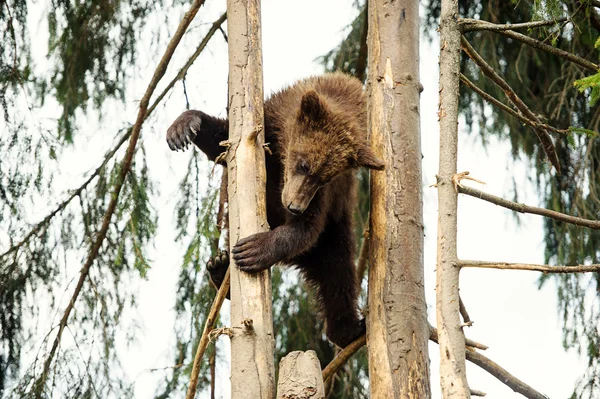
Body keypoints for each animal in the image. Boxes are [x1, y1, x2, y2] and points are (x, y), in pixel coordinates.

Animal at [166, 73, 384, 348]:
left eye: (325, 177)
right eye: (304, 165)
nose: (294, 206)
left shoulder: (327, 194)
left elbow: (307, 229)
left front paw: (253, 249)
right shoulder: (266, 124)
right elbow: (224, 141)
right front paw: (184, 127)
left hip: (336, 229)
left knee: (338, 271)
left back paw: (349, 329)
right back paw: (219, 267)